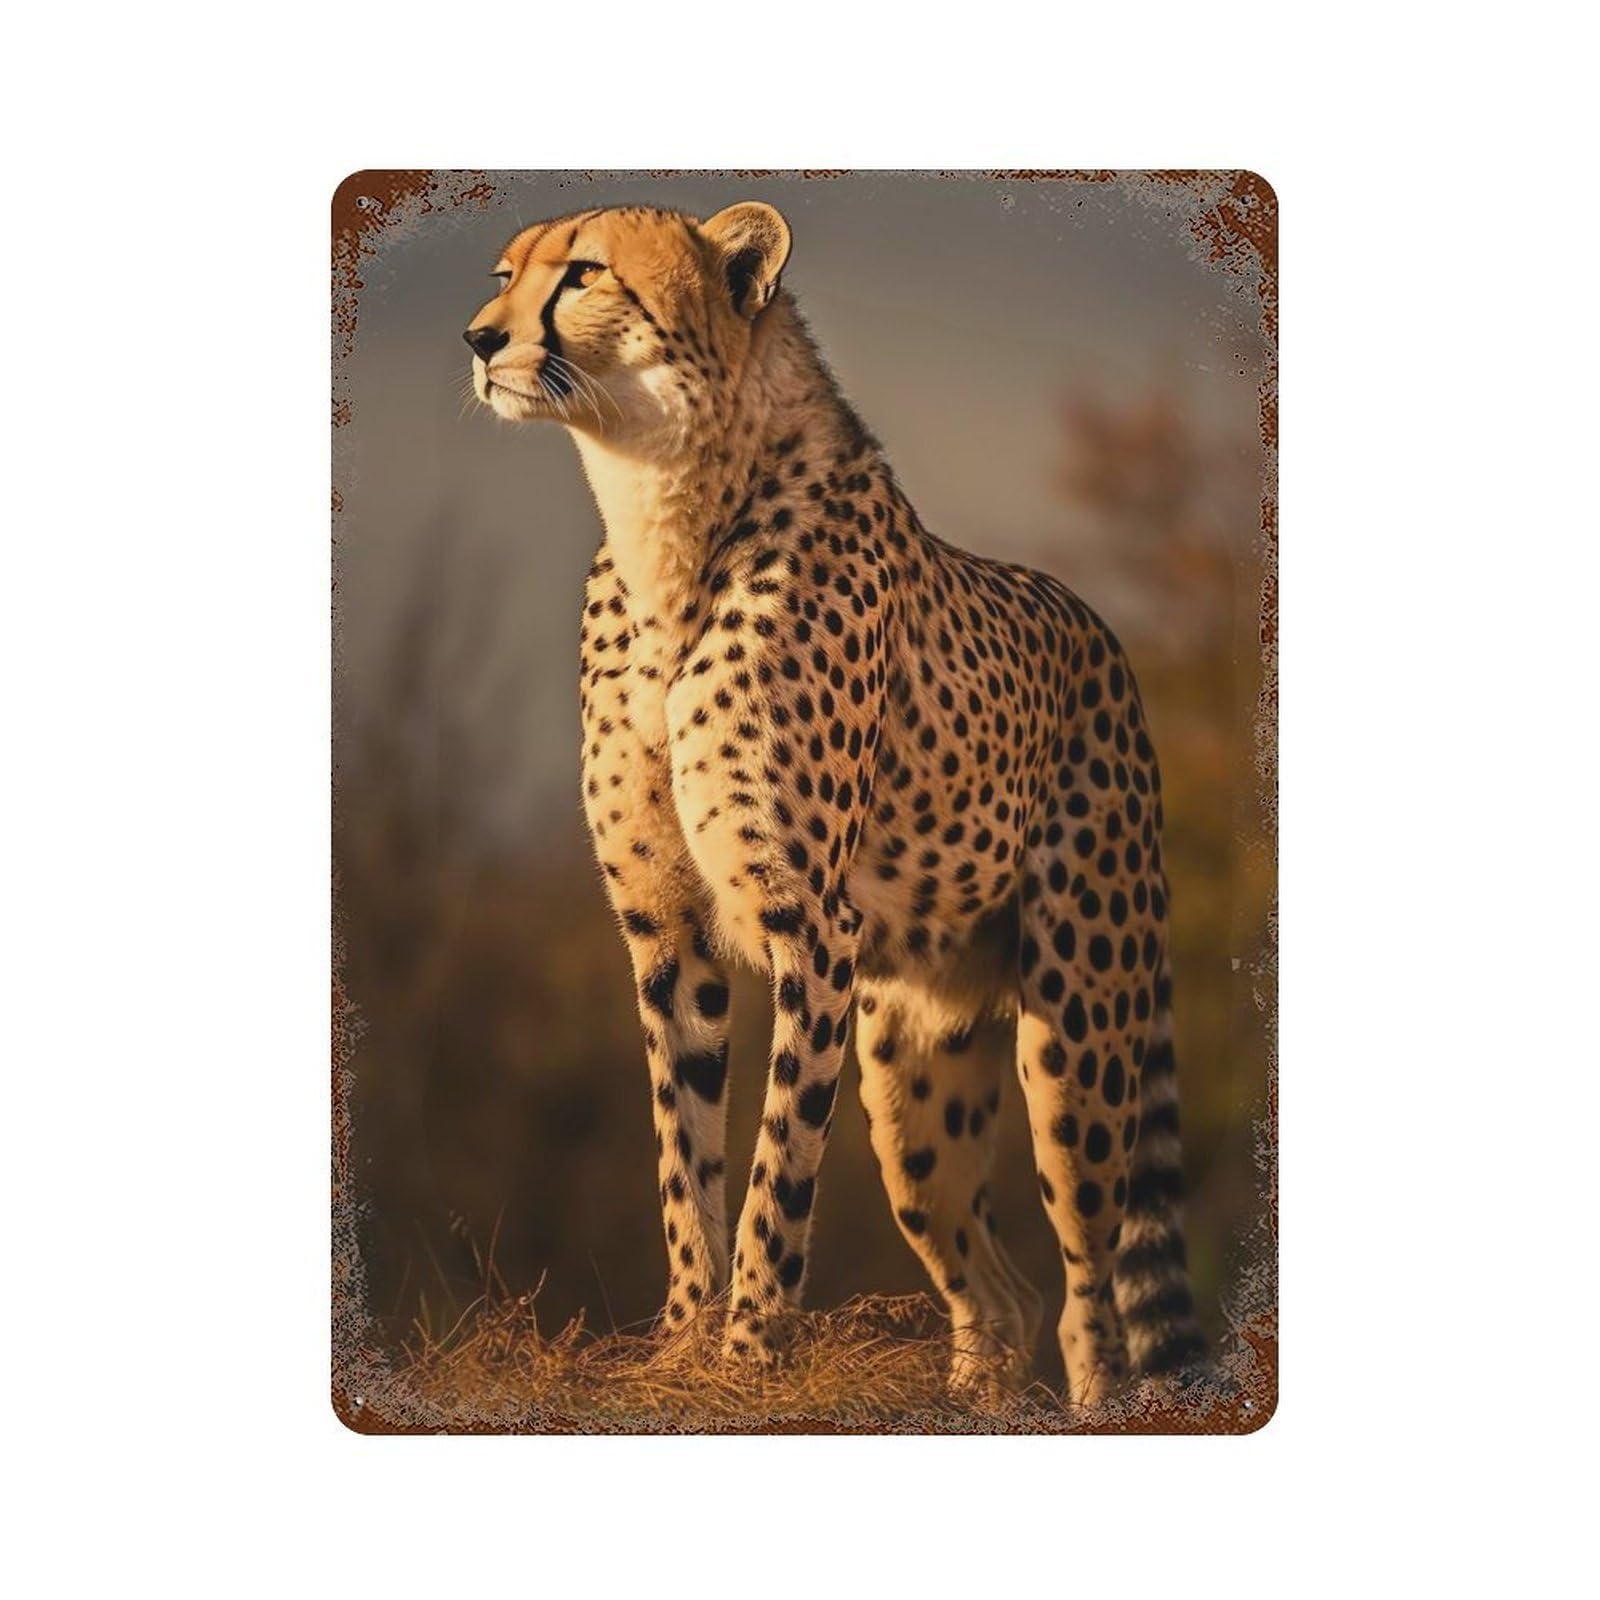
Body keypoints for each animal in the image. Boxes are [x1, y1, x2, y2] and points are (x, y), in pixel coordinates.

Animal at [464, 200, 1205, 1405]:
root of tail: (1102, 633)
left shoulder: (810, 925)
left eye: (581, 275)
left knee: (1086, 1282)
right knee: (997, 1289)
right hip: (914, 1075)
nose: (480, 339)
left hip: (1078, 1033)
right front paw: (682, 1345)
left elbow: (778, 1170)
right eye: (503, 274)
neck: (662, 516)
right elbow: (685, 1156)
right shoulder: (665, 931)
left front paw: (746, 1357)